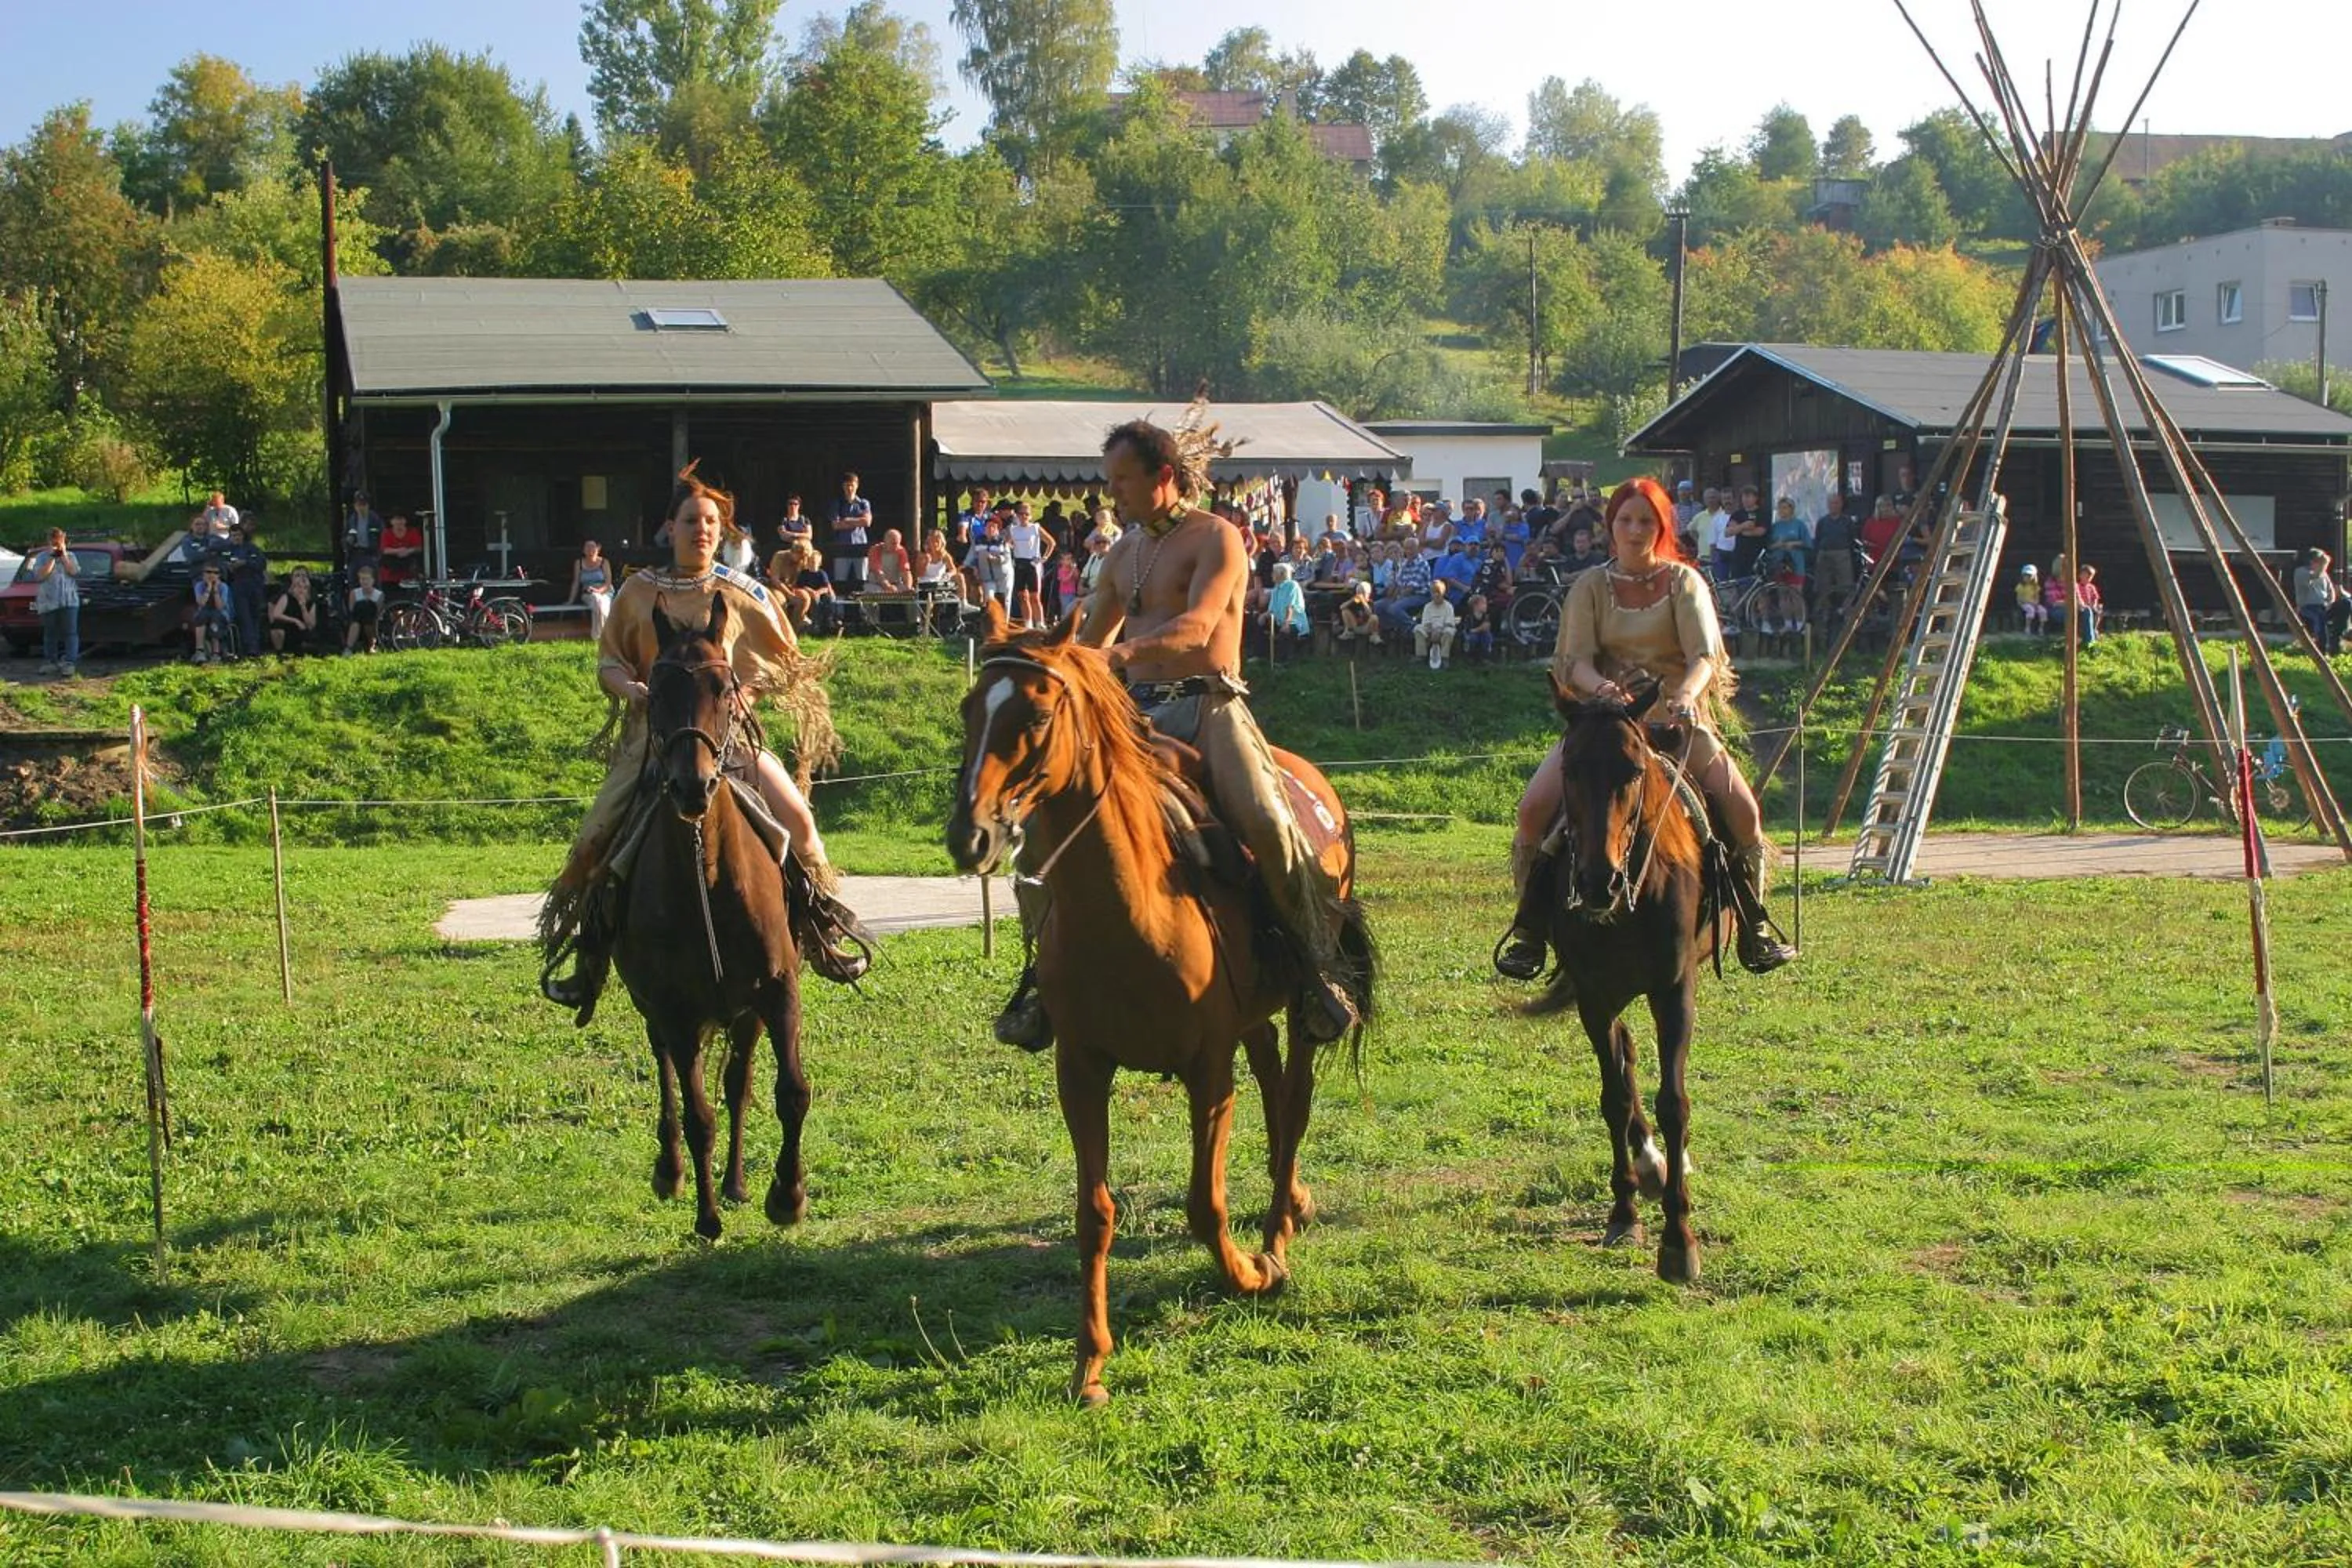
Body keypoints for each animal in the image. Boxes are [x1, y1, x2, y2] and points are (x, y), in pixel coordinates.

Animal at [612, 595, 811, 1241]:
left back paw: (738, 1182)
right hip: (656, 1011)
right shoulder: (673, 1008)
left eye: (724, 687)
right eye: (656, 691)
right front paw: (706, 1218)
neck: (709, 873)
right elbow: (699, 1113)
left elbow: (789, 1092)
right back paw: (673, 1172)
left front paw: (786, 1196)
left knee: (739, 1083)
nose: (692, 785)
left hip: (743, 1014)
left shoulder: (777, 989)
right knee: (668, 1076)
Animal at [947, 604, 1376, 1406]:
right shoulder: (1082, 1069)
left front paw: (1252, 1274)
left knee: (1295, 1101)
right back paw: (1292, 1205)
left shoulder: (1208, 1069)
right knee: (1274, 1089)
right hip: (1252, 1021)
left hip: (1301, 1008)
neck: (1131, 910)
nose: (972, 835)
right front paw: (1089, 1364)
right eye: (970, 709)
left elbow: (1205, 1206)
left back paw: (1278, 1231)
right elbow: (1095, 1213)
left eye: (1038, 713)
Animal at [1524, 674, 1717, 1284]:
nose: (1596, 881)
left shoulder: (1674, 990)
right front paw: (1625, 1212)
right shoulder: (1594, 995)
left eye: (1633, 771)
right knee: (1627, 1061)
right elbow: (1614, 1097)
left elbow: (1673, 1102)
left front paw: (1679, 1241)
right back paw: (1650, 1167)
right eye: (1569, 769)